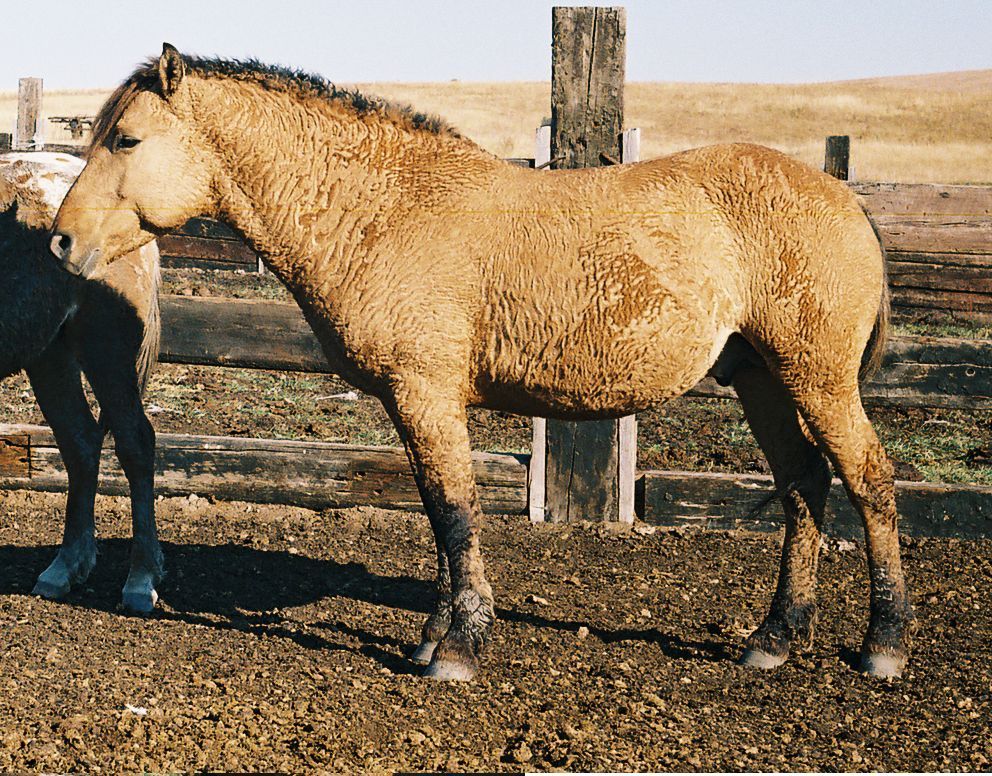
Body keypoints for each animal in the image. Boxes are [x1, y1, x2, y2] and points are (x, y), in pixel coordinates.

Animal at [0, 152, 163, 612]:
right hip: (50, 355)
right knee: (81, 444)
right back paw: (65, 568)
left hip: (106, 351)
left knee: (134, 444)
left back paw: (140, 580)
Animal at [48, 47, 916, 680]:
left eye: (126, 140)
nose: (60, 240)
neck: (383, 209)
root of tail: (842, 196)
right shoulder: (412, 403)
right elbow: (439, 514)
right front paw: (435, 633)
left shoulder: (426, 394)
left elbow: (456, 508)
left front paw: (459, 647)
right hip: (763, 379)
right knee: (804, 484)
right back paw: (775, 636)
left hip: (816, 379)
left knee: (868, 481)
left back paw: (884, 643)